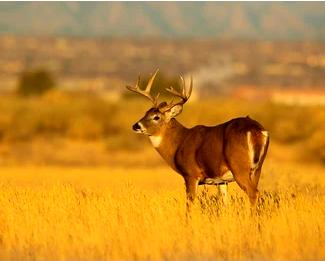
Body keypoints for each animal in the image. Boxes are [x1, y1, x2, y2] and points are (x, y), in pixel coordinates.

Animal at [126, 70, 268, 210]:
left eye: (156, 117)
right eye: (145, 113)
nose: (136, 126)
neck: (180, 142)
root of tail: (255, 130)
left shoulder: (190, 174)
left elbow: (189, 206)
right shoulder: (221, 180)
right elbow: (225, 204)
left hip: (240, 168)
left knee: (253, 193)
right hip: (257, 169)